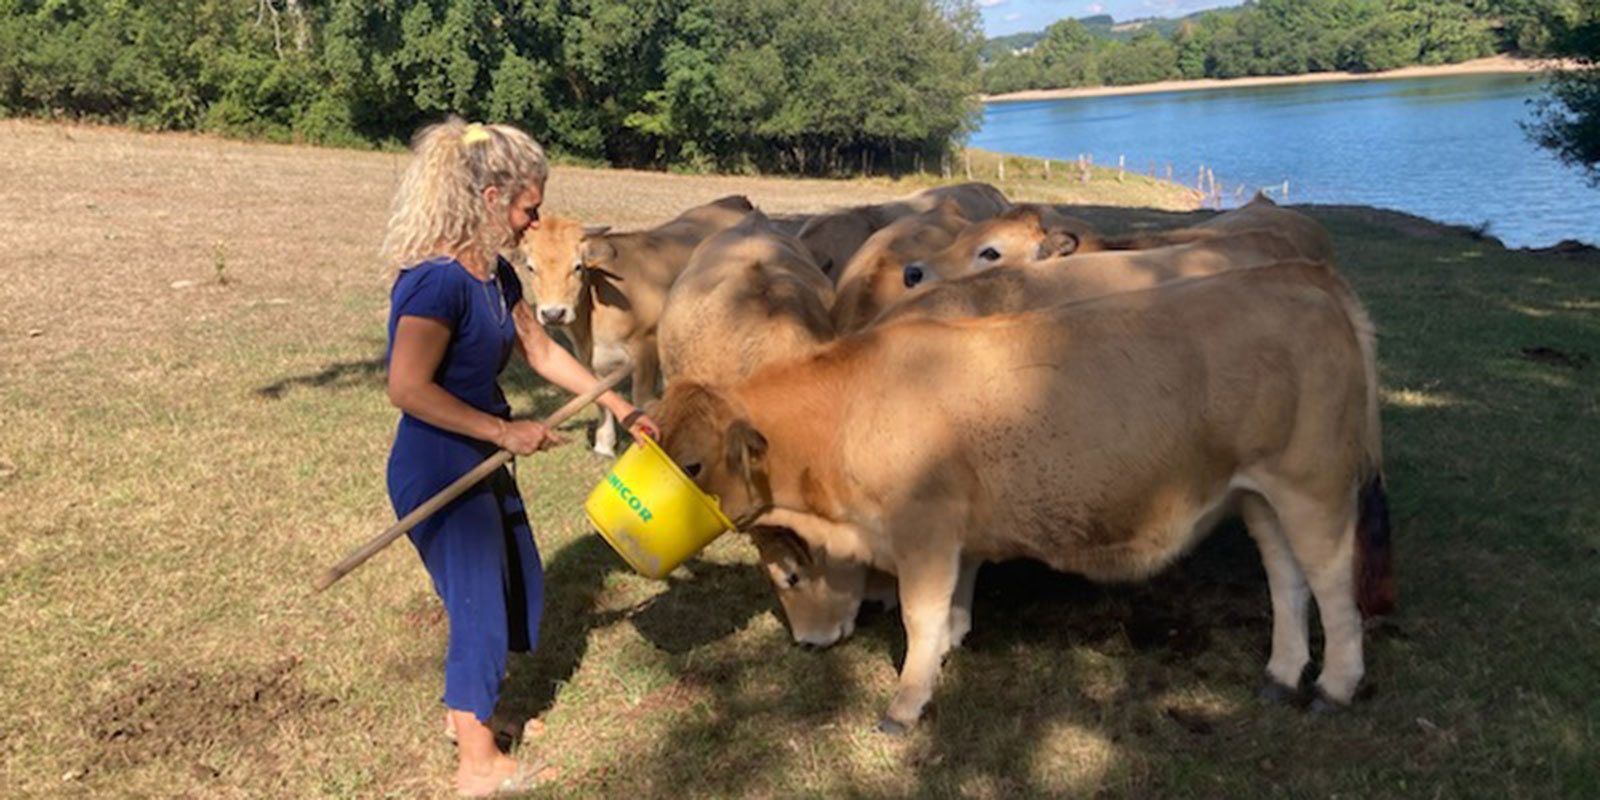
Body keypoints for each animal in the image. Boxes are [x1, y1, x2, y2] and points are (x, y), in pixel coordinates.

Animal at [518, 193, 755, 454]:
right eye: (530, 267)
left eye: (577, 266)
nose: (553, 314)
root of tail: (734, 201)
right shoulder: (587, 356)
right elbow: (598, 397)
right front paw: (604, 445)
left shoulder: (645, 346)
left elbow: (641, 400)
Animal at [649, 262, 1388, 732]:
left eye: (691, 462)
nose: (808, 646)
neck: (852, 406)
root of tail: (1300, 276)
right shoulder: (957, 532)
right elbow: (954, 600)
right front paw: (949, 648)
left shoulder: (924, 527)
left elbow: (919, 614)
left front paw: (906, 704)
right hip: (1260, 496)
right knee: (1287, 579)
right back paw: (1282, 674)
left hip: (1313, 485)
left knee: (1331, 582)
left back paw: (1335, 685)